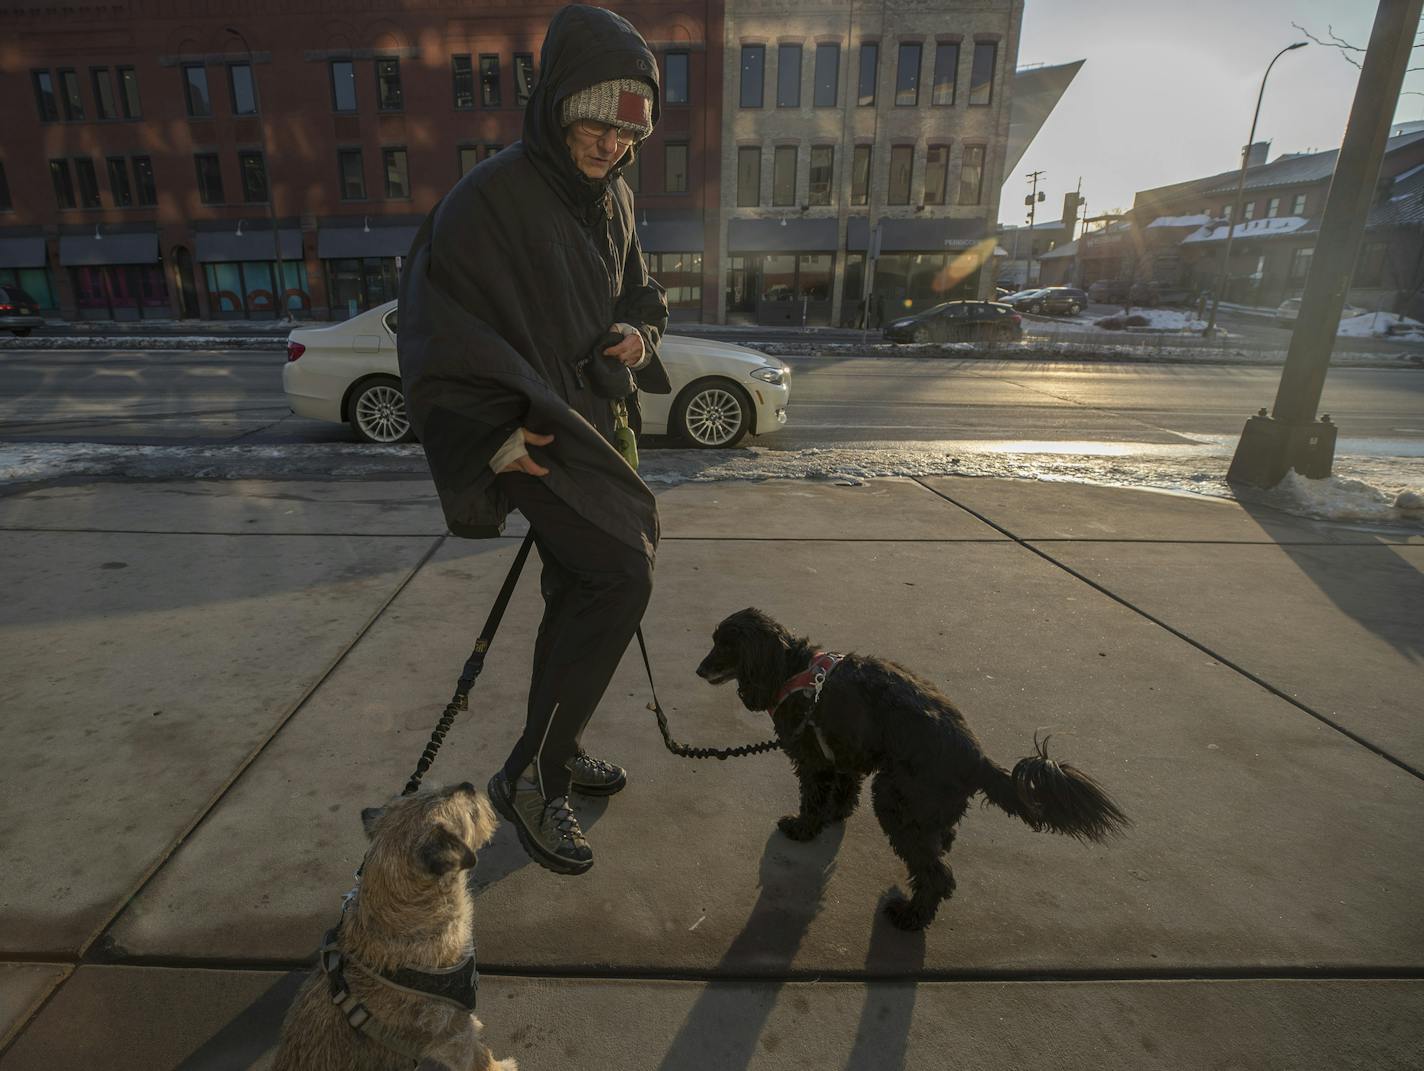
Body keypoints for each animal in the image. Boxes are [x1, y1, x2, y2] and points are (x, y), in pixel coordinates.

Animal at [694, 609, 1127, 928]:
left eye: (724, 644)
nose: (699, 670)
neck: (792, 668)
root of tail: (976, 757)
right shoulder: (847, 752)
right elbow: (844, 790)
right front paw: (836, 815)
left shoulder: (813, 757)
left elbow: (814, 799)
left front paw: (804, 828)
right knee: (940, 840)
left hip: (895, 798)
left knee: (937, 874)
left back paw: (911, 917)